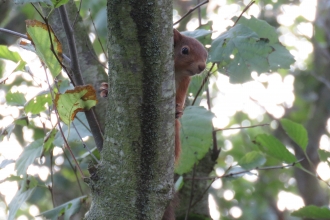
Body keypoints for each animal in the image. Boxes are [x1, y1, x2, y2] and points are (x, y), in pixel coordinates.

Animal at [99, 28, 208, 163]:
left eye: (206, 55)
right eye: (184, 50)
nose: (202, 66)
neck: (177, 71)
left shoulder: (184, 82)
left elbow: (180, 99)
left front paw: (178, 110)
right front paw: (107, 88)